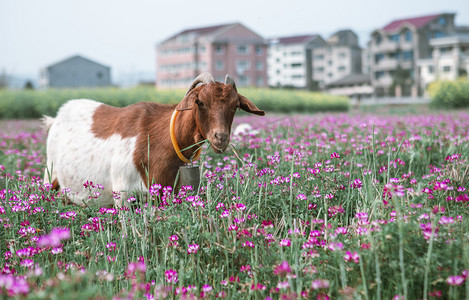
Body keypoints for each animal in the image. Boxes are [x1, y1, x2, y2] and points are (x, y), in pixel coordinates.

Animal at [43, 73, 264, 207]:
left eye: (235, 106)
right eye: (200, 102)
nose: (221, 138)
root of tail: (55, 119)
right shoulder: (122, 195)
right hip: (50, 176)